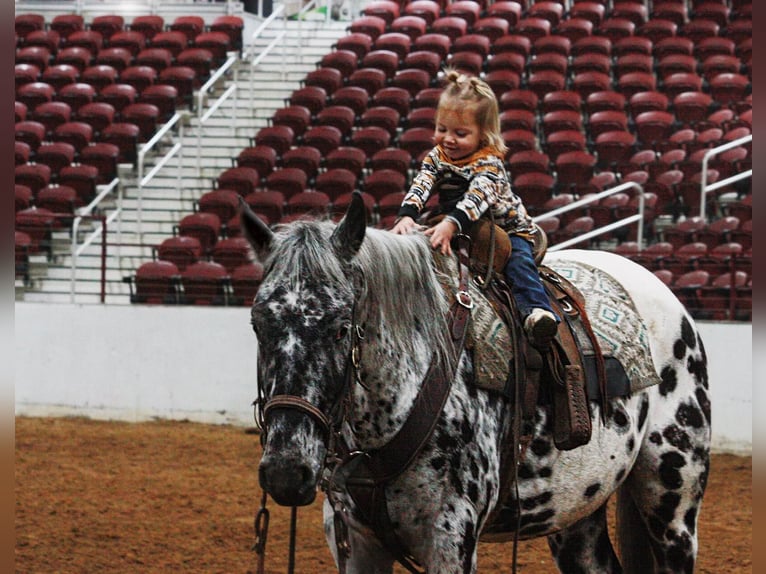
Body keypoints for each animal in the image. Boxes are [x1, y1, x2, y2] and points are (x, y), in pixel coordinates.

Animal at [242, 195, 712, 574]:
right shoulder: (355, 541)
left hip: (673, 502)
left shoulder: (451, 538)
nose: (286, 471)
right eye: (257, 324)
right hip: (577, 512)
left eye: (342, 328)